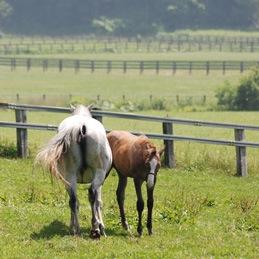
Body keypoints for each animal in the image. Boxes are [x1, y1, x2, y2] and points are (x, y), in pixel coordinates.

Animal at [35, 105, 112, 240]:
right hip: (97, 173)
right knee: (90, 195)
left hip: (70, 176)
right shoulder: (100, 181)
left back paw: (77, 230)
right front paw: (101, 227)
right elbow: (98, 202)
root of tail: (81, 127)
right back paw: (94, 229)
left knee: (74, 200)